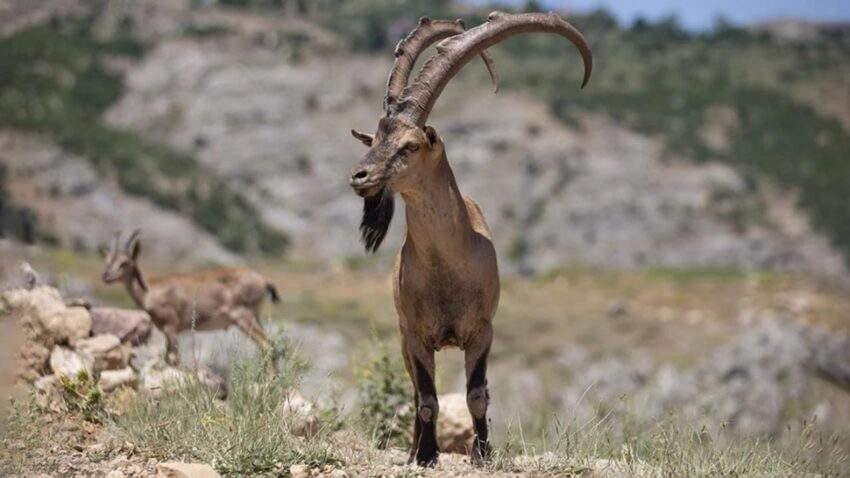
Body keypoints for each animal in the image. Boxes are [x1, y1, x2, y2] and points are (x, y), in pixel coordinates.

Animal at [100, 230, 278, 372]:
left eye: (125, 262)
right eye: (108, 261)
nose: (106, 276)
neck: (150, 291)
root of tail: (264, 281)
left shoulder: (171, 327)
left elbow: (173, 359)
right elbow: (169, 358)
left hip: (244, 318)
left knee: (268, 345)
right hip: (255, 318)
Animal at [346, 12, 588, 466]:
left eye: (409, 145)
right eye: (376, 138)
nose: (359, 176)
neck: (448, 265)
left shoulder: (482, 332)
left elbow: (477, 395)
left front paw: (483, 453)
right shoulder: (416, 335)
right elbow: (426, 399)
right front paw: (425, 455)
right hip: (403, 340)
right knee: (414, 393)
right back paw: (413, 449)